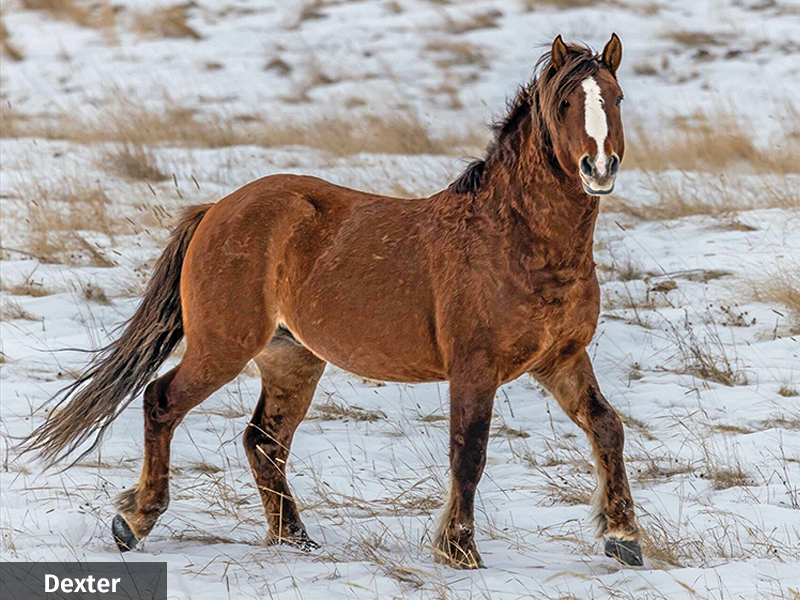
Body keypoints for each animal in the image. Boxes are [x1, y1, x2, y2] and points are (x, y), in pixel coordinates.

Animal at [24, 33, 642, 569]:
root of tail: (216, 209)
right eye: (566, 102)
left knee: (263, 443)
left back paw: (294, 539)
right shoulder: (475, 368)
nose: (599, 168)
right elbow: (470, 454)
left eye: (615, 98)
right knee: (161, 402)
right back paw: (135, 522)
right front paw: (460, 551)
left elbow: (607, 427)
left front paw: (624, 539)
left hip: (291, 358)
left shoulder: (560, 359)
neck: (516, 240)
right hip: (223, 347)